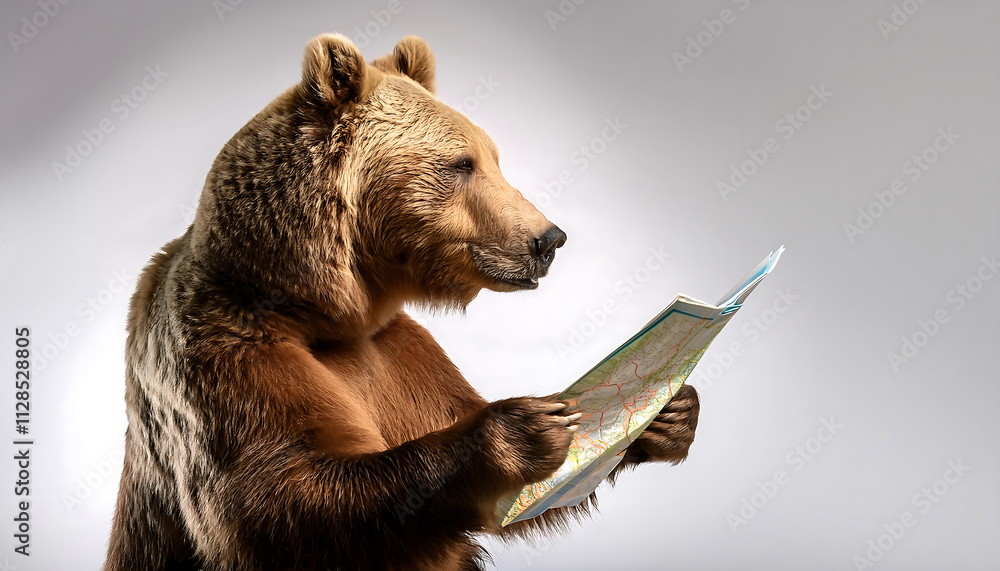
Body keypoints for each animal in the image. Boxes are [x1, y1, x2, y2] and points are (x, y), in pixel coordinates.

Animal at [104, 34, 700, 571]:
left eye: (494, 158)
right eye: (462, 164)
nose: (548, 238)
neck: (321, 308)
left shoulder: (399, 353)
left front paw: (669, 414)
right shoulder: (224, 356)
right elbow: (280, 493)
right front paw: (523, 428)